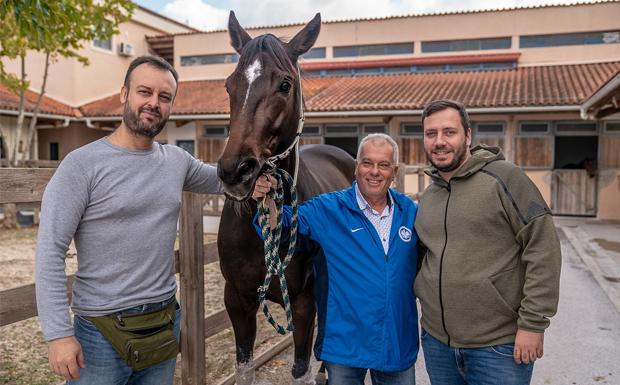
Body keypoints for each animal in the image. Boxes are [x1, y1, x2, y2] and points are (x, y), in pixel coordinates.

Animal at [217, 12, 354, 384]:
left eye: (285, 85)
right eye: (229, 85)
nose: (235, 171)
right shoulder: (237, 302)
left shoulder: (304, 304)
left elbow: (301, 368)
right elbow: (244, 368)